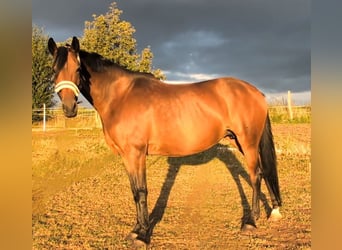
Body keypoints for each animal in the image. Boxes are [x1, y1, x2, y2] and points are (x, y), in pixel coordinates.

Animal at [48, 36, 284, 247]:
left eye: (77, 69)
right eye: (54, 70)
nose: (69, 108)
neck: (120, 96)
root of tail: (256, 92)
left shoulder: (136, 153)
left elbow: (141, 191)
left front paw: (143, 235)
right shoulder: (127, 156)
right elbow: (134, 191)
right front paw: (136, 229)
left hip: (248, 143)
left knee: (256, 175)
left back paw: (250, 222)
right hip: (240, 142)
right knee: (262, 173)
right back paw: (274, 210)